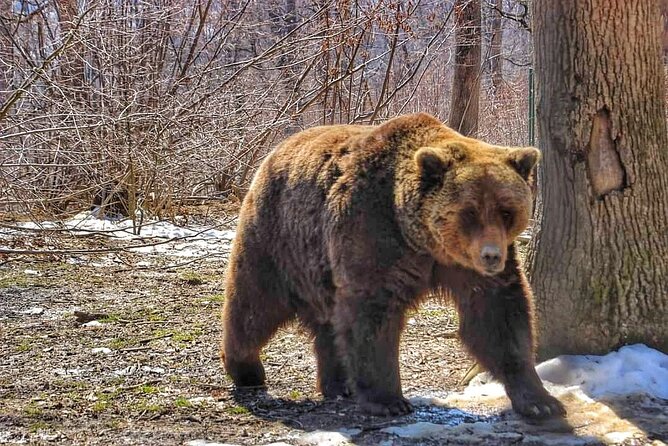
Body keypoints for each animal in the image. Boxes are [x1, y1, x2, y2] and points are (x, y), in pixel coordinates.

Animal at [221, 113, 565, 419]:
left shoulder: (466, 267)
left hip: (319, 265)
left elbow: (499, 316)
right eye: (469, 211)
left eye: (507, 211)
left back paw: (339, 383)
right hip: (278, 239)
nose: (491, 256)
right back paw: (246, 369)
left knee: (328, 321)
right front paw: (387, 400)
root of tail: (275, 150)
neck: (422, 239)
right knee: (254, 305)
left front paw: (541, 401)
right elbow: (372, 316)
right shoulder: (374, 234)